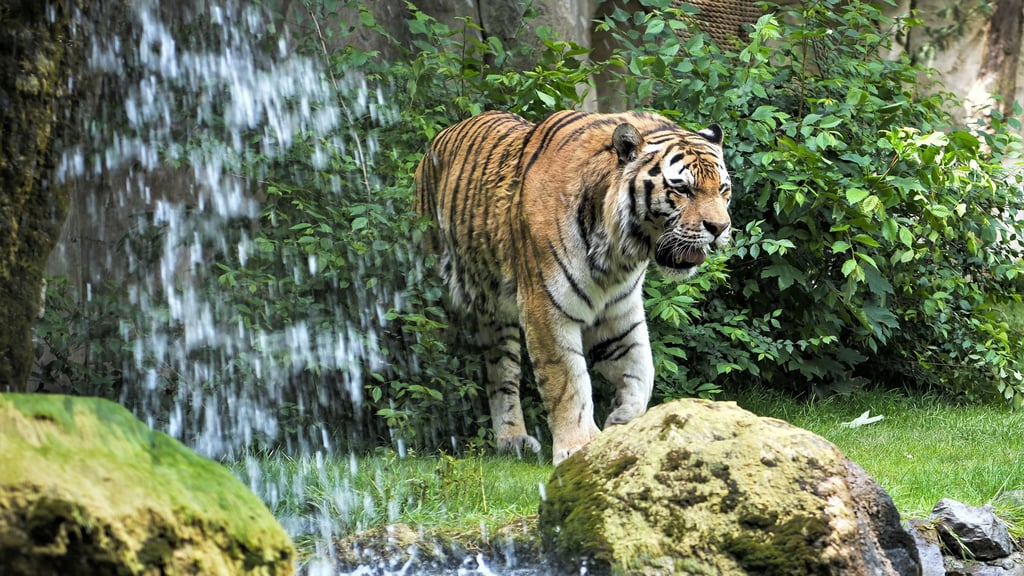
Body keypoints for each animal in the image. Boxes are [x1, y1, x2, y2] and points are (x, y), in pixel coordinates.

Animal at [414, 109, 732, 465]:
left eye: (723, 189)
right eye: (683, 190)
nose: (720, 228)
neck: (618, 253)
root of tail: (439, 138)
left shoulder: (620, 313)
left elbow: (642, 372)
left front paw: (622, 421)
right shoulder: (545, 309)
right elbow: (568, 382)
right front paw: (578, 446)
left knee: (500, 376)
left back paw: (511, 440)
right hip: (435, 296)